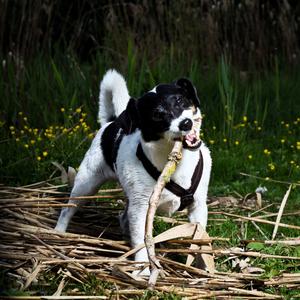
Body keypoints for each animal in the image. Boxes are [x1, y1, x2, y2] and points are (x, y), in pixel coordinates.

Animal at [55, 69, 211, 268]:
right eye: (157, 115)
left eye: (180, 100)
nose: (186, 124)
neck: (174, 162)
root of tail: (112, 122)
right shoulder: (141, 210)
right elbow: (141, 241)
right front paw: (143, 268)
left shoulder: (198, 207)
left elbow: (200, 238)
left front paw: (203, 265)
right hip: (85, 186)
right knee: (67, 209)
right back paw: (58, 233)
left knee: (123, 217)